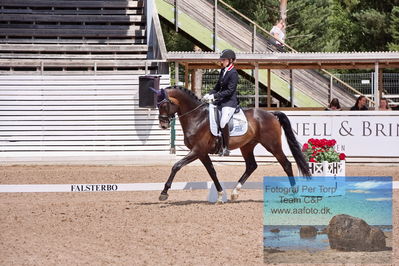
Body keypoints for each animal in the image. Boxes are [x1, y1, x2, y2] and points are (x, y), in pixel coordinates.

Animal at [155, 86, 310, 203]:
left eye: (164, 105)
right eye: (157, 105)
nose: (163, 125)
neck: (196, 117)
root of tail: (272, 114)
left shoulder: (197, 150)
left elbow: (176, 166)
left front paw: (164, 193)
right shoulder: (202, 153)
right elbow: (212, 172)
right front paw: (219, 196)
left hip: (273, 145)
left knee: (286, 164)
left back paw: (294, 193)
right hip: (247, 146)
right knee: (251, 166)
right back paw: (235, 193)